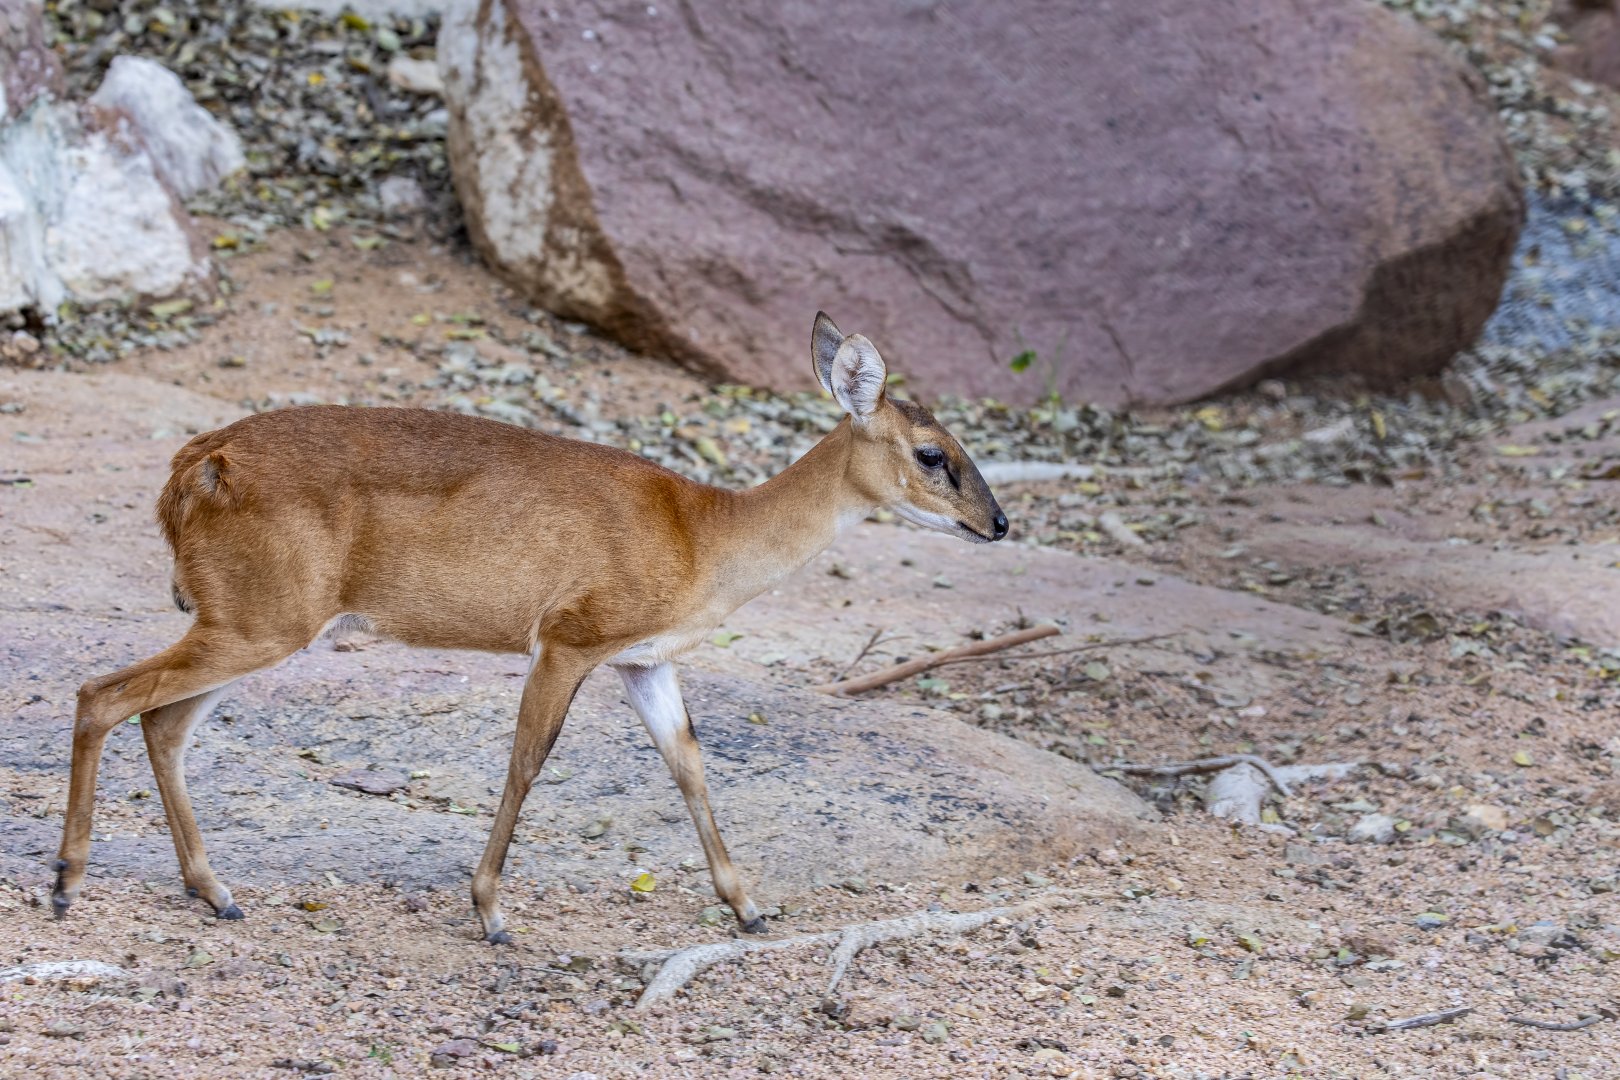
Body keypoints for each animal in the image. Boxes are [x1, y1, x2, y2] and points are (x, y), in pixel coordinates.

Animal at [52, 313, 1007, 942]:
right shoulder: (570, 635)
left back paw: (213, 891)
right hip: (260, 615)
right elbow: (526, 761)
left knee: (161, 720)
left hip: (257, 619)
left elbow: (691, 766)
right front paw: (490, 912)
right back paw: (68, 880)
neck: (702, 538)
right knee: (103, 692)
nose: (998, 524)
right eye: (933, 456)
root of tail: (188, 470)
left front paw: (747, 906)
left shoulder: (644, 660)